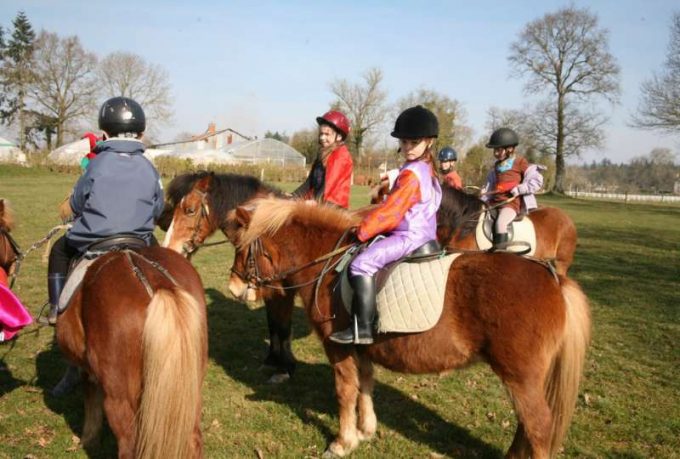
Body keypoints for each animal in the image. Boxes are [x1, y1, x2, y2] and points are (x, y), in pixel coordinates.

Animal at [56, 248, 207, 459]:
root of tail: (158, 283)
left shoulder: (88, 371)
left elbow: (91, 401)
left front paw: (89, 440)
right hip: (191, 392)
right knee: (194, 440)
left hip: (120, 400)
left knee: (128, 447)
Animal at [159, 171, 298, 380]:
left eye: (190, 210)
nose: (169, 249)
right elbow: (273, 322)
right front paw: (272, 361)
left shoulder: (284, 293)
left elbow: (282, 326)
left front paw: (285, 369)